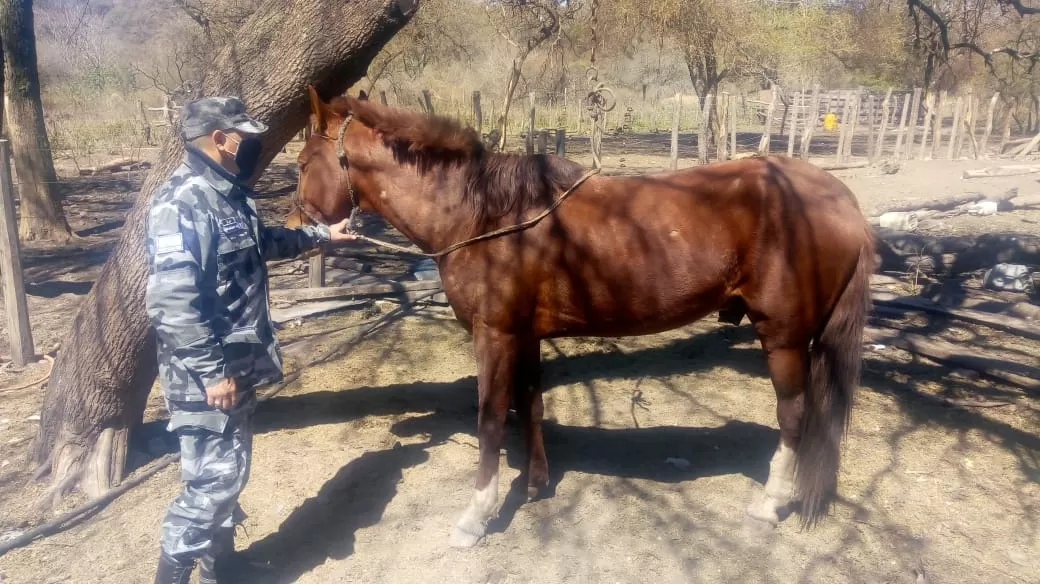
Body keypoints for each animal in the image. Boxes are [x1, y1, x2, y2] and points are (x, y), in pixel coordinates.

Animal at [295, 87, 877, 544]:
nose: (299, 228)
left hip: (783, 338)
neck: (485, 215)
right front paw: (535, 485)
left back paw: (769, 503)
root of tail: (840, 197)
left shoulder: (494, 335)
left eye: (301, 164)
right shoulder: (525, 335)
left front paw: (476, 515)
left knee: (794, 415)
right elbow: (529, 406)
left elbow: (490, 418)